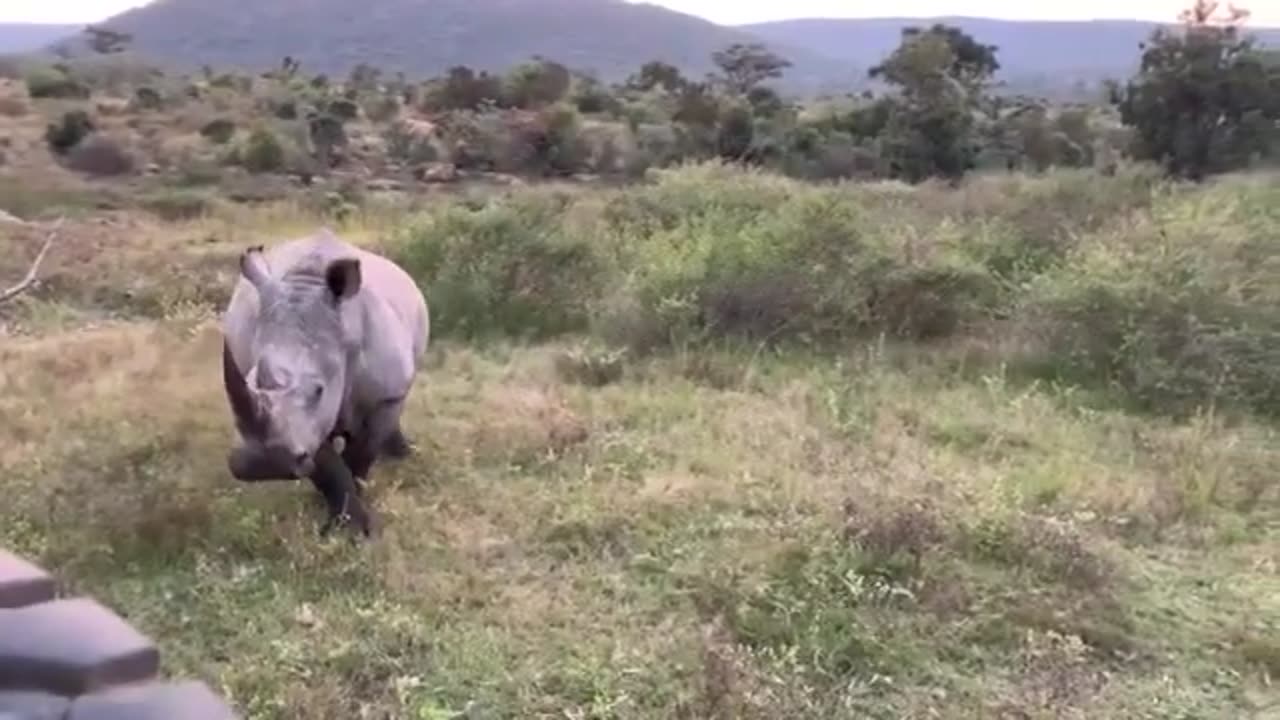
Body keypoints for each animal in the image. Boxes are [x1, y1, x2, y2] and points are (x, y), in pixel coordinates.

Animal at [220, 226, 430, 535]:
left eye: (318, 390)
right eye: (248, 380)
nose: (261, 464)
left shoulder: (385, 396)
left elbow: (361, 454)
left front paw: (356, 527)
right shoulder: (308, 424)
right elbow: (328, 467)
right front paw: (340, 523)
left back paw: (403, 453)